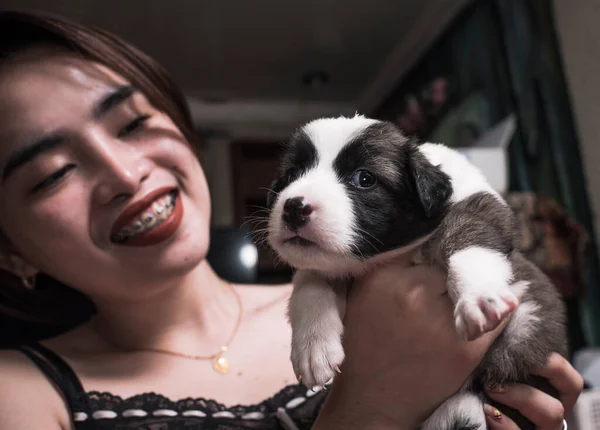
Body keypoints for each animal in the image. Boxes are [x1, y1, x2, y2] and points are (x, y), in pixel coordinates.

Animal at [268, 114, 568, 430]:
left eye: (364, 179)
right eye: (291, 175)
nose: (294, 207)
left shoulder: (482, 206)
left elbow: (470, 238)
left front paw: (480, 296)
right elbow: (310, 285)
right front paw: (312, 348)